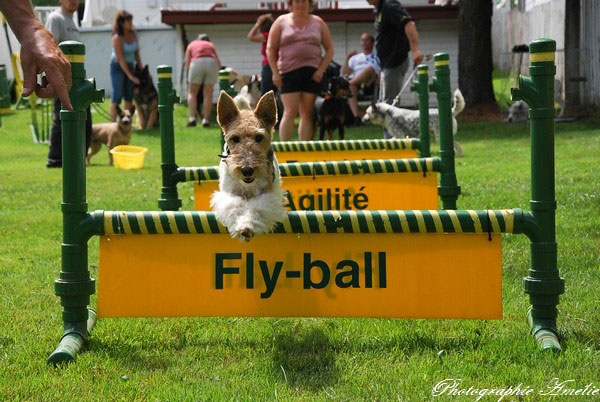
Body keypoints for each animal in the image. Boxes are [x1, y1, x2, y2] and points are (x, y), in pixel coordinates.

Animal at [210, 90, 286, 242]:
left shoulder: (267, 195)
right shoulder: (230, 194)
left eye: (259, 137)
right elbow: (235, 206)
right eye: (235, 138)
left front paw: (247, 226)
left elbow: (256, 208)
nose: (247, 170)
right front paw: (241, 226)